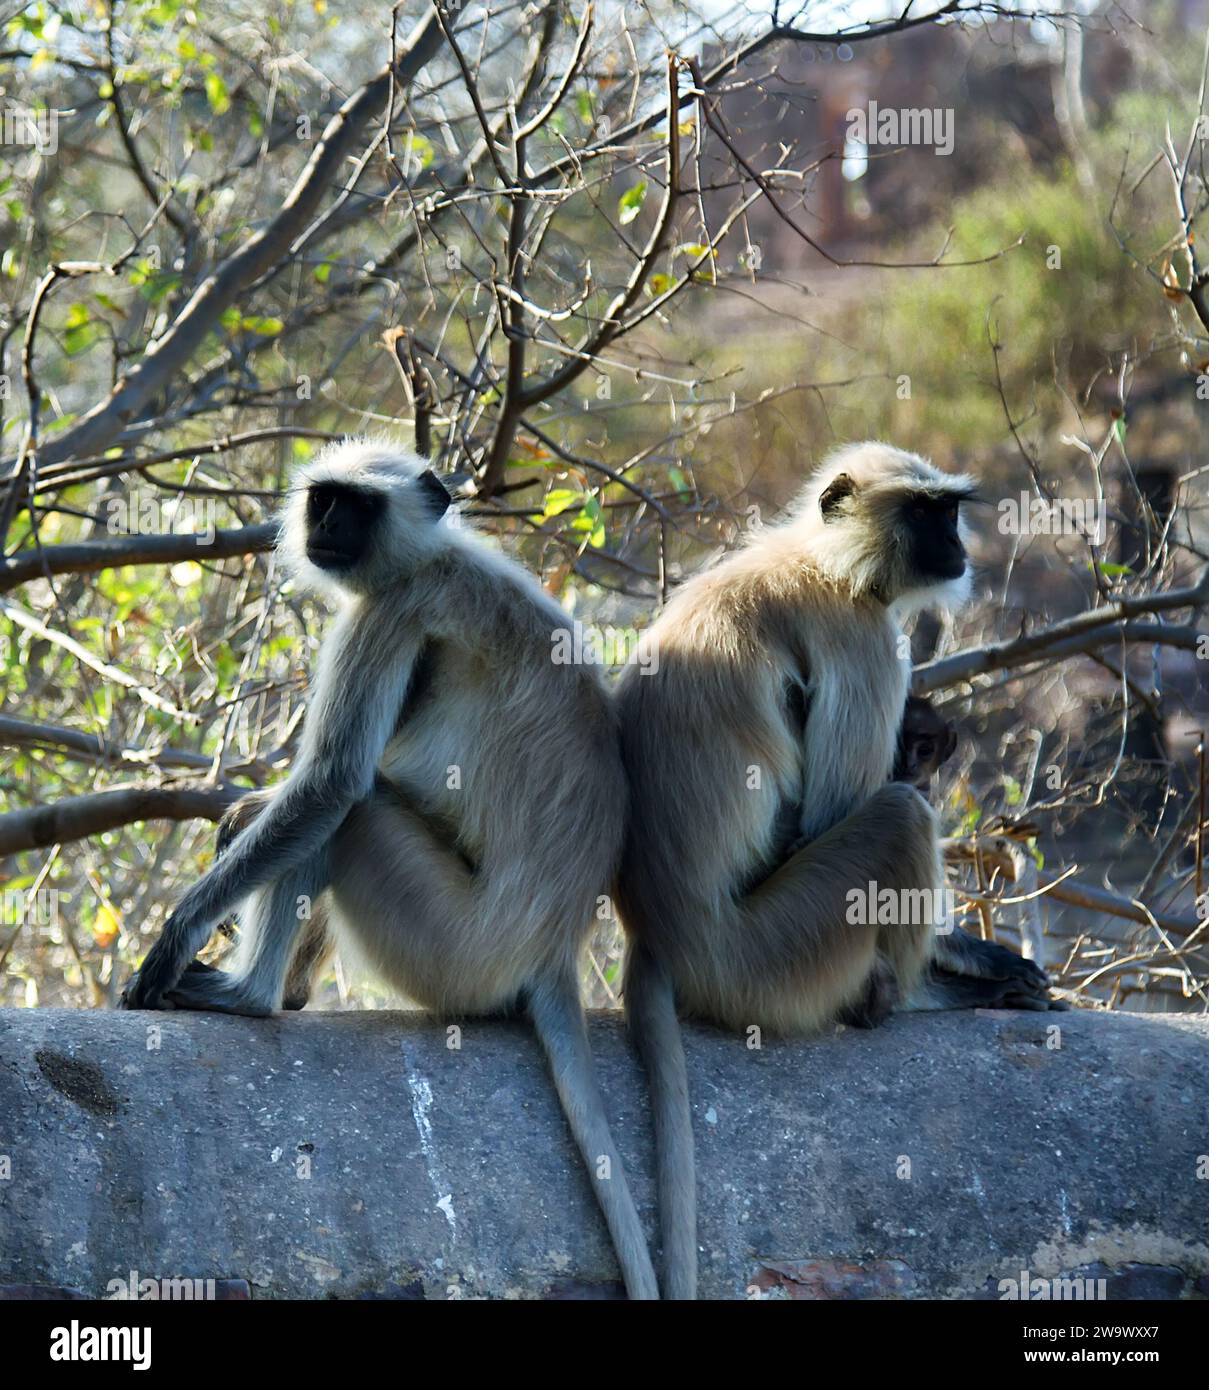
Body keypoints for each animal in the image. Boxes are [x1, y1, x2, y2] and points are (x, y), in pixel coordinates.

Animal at [120, 439, 660, 1301]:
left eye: (358, 507)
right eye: (325, 501)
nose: (326, 529)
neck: (435, 553)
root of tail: (552, 951)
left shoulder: (394, 608)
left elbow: (333, 783)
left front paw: (177, 935)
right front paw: (241, 814)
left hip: (452, 951)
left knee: (357, 812)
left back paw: (252, 997)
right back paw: (289, 988)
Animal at [614, 442, 1061, 1299]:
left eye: (947, 510)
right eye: (925, 511)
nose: (956, 545)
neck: (819, 561)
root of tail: (661, 934)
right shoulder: (860, 634)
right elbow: (833, 814)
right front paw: (967, 957)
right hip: (773, 955)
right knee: (895, 817)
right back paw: (916, 994)